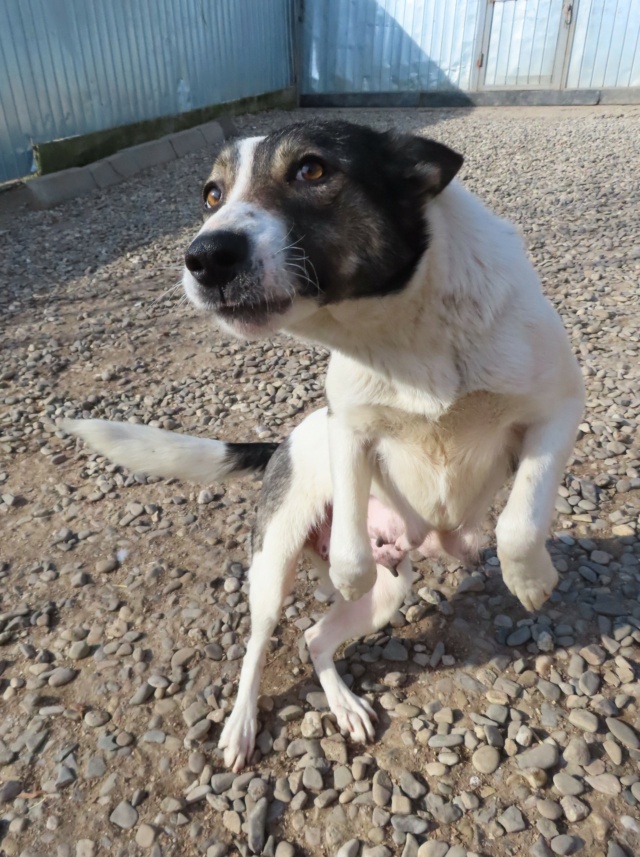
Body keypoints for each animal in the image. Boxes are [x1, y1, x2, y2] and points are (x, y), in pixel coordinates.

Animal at [65, 120, 584, 768]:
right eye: (211, 194)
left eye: (311, 170)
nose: (204, 257)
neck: (398, 332)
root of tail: (281, 444)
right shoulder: (349, 428)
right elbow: (350, 548)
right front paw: (348, 570)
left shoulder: (558, 411)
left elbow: (520, 520)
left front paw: (531, 580)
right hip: (273, 566)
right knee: (260, 644)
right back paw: (240, 727)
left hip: (390, 595)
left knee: (315, 638)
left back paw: (344, 705)